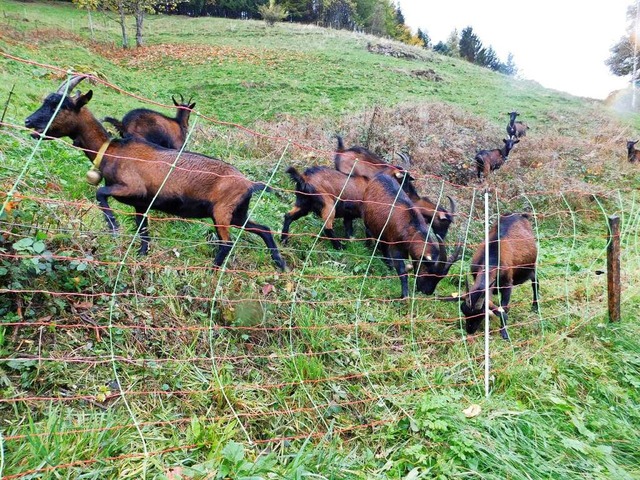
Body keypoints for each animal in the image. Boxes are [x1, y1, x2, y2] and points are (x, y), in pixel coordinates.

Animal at [24, 75, 284, 270]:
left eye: (60, 106)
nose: (28, 121)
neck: (112, 151)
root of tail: (250, 184)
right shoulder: (141, 204)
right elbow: (143, 232)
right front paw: (140, 256)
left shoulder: (132, 188)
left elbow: (100, 193)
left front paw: (114, 228)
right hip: (237, 212)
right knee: (263, 229)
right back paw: (280, 264)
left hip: (221, 211)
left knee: (227, 244)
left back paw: (213, 270)